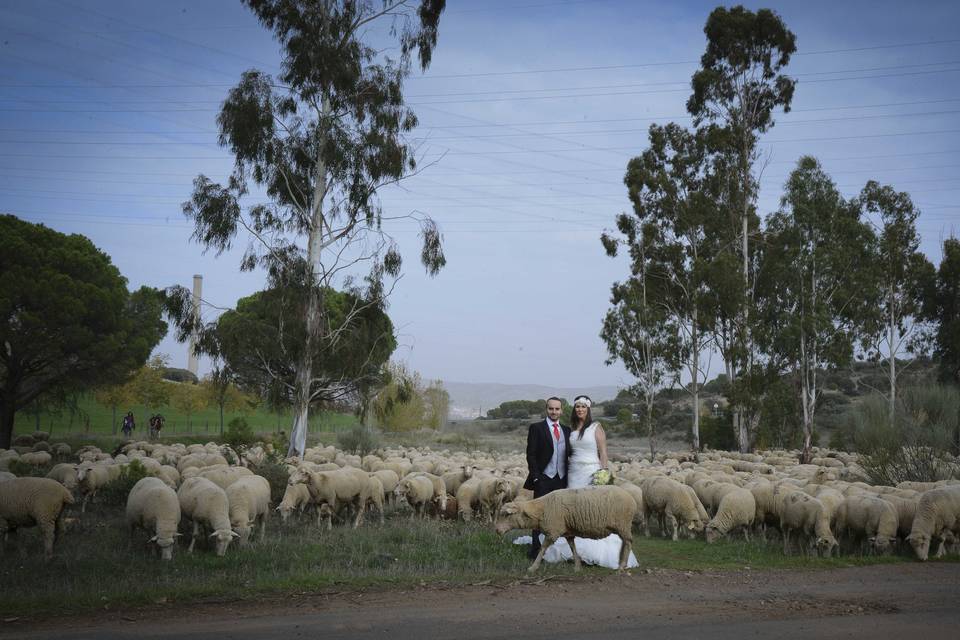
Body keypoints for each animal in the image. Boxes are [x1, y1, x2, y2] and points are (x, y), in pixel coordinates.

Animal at [496, 488, 636, 572]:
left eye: (507, 515)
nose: (497, 530)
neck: (541, 509)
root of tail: (631, 498)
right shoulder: (568, 532)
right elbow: (572, 547)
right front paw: (577, 566)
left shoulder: (553, 531)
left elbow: (543, 548)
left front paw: (533, 567)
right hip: (622, 526)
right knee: (625, 542)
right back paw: (620, 561)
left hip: (623, 524)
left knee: (629, 542)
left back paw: (622, 565)